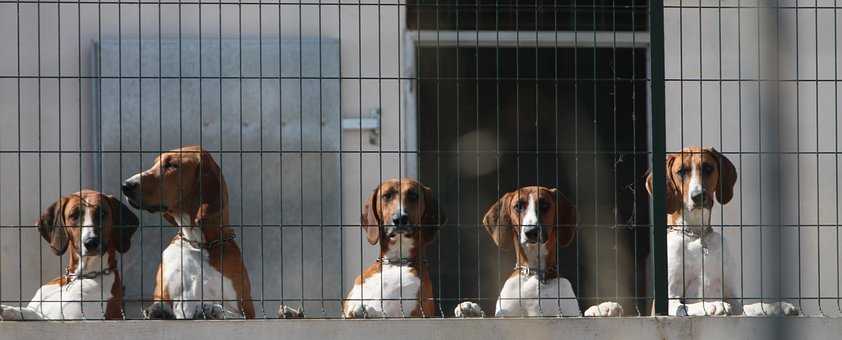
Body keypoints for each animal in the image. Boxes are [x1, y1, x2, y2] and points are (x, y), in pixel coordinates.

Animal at [0, 190, 138, 320]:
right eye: (74, 215)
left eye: (102, 214)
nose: (91, 242)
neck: (77, 277)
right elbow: (32, 312)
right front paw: (12, 310)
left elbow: (44, 318)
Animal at [120, 145, 254, 318]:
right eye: (155, 163)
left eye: (171, 165)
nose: (126, 185)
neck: (198, 243)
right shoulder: (163, 293)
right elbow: (162, 304)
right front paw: (158, 310)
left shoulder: (246, 309)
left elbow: (229, 312)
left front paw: (212, 309)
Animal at [456, 187, 620, 318]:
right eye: (518, 206)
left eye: (544, 205)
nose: (531, 232)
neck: (535, 274)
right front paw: (470, 309)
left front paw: (601, 309)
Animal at [648, 146, 796, 316]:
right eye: (681, 172)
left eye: (708, 168)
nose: (698, 196)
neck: (697, 236)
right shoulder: (667, 301)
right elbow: (686, 306)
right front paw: (713, 305)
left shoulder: (734, 299)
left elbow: (754, 307)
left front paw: (777, 307)